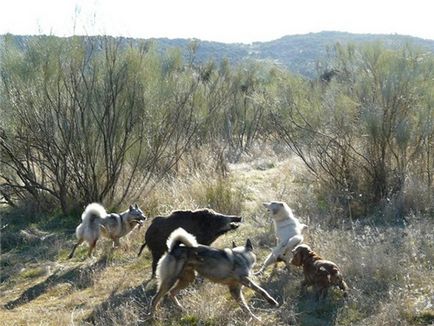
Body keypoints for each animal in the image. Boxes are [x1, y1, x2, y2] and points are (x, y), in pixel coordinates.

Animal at [150, 228, 278, 320]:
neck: (241, 255)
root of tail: (173, 249)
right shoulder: (245, 280)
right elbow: (261, 290)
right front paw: (272, 301)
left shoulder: (235, 290)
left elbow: (245, 307)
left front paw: (254, 318)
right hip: (170, 281)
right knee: (155, 299)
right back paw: (153, 316)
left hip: (188, 279)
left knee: (172, 293)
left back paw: (181, 309)